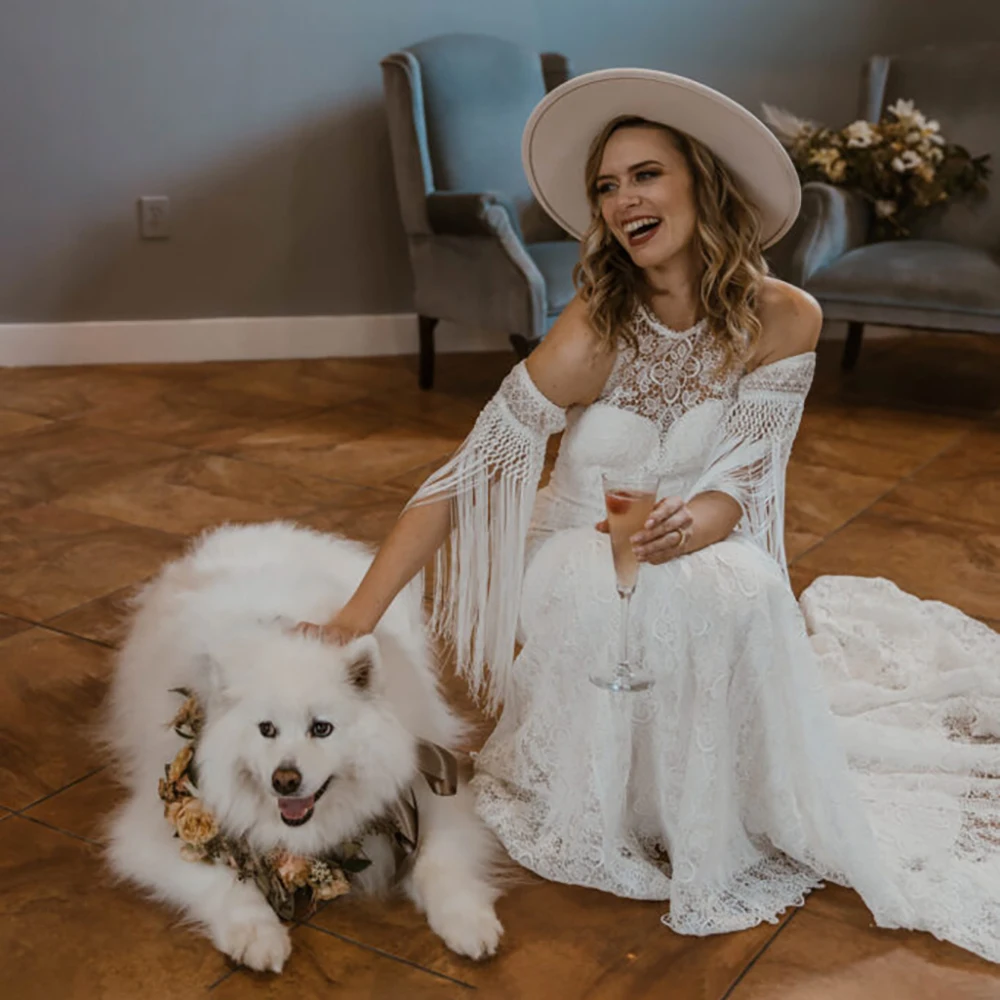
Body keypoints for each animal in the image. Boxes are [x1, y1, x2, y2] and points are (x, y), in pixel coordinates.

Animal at [105, 520, 504, 972]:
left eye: (322, 728)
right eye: (266, 729)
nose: (285, 780)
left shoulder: (429, 790)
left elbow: (442, 860)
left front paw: (469, 921)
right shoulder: (155, 828)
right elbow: (223, 882)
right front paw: (258, 936)